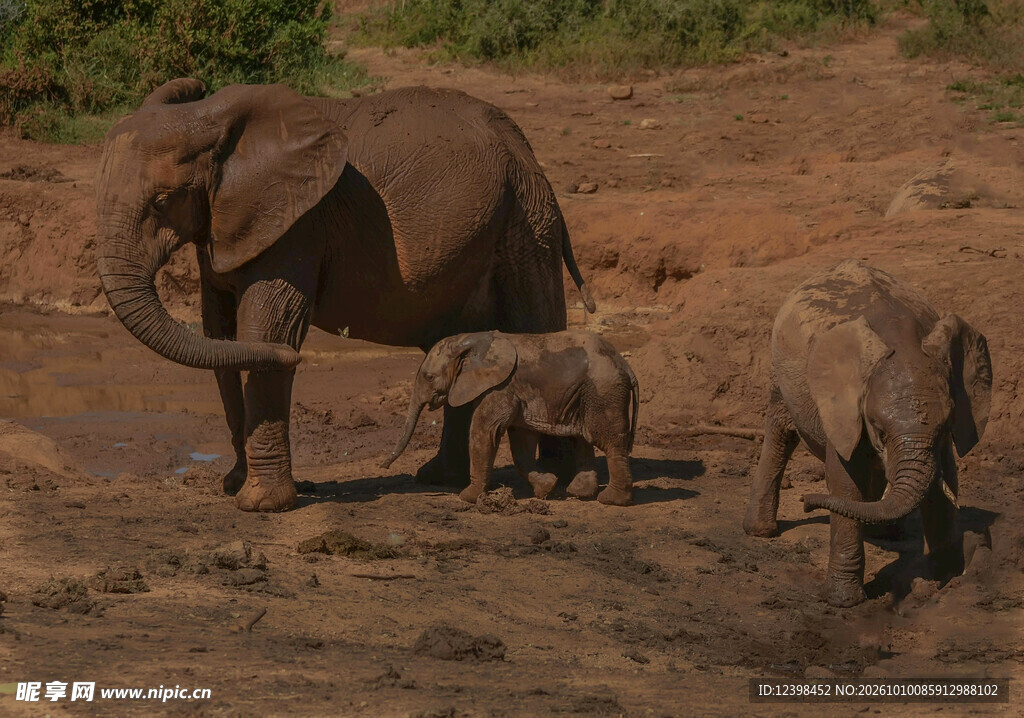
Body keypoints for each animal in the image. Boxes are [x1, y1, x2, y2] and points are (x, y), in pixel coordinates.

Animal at [95, 78, 595, 512]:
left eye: (162, 201)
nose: (304, 356)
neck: (208, 118)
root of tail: (524, 145)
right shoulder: (223, 222)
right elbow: (220, 332)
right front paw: (235, 486)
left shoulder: (297, 223)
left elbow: (267, 329)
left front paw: (260, 505)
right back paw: (440, 478)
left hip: (527, 222)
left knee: (536, 325)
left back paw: (562, 484)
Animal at [380, 330, 639, 506]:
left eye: (429, 377)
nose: (383, 466)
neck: (472, 339)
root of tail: (626, 365)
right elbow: (521, 442)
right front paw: (546, 488)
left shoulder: (500, 387)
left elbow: (484, 431)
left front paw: (468, 497)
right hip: (584, 393)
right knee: (582, 439)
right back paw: (578, 493)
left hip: (603, 391)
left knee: (606, 440)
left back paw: (611, 499)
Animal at [743, 260, 992, 607]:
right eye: (880, 431)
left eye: (945, 428)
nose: (806, 502)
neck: (901, 340)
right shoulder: (843, 406)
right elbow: (845, 482)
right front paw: (843, 601)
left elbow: (945, 481)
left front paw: (946, 580)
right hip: (781, 372)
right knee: (781, 432)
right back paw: (760, 532)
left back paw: (884, 534)